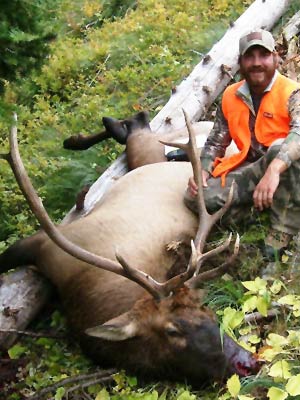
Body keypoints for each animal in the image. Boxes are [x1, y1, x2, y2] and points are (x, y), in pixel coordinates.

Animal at [0, 111, 260, 384]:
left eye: (207, 311)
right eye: (172, 330)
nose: (247, 361)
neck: (81, 293)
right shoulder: (48, 241)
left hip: (149, 154)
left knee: (138, 126)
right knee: (140, 125)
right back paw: (77, 139)